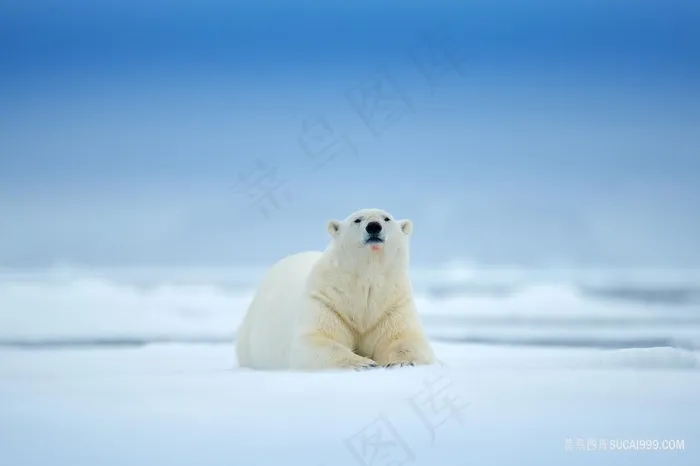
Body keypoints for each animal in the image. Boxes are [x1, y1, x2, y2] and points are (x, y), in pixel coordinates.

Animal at [235, 208, 437, 371]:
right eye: (357, 219)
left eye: (386, 218)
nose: (373, 226)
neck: (366, 282)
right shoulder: (327, 300)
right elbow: (316, 340)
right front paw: (363, 363)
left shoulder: (391, 304)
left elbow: (404, 339)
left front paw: (400, 362)